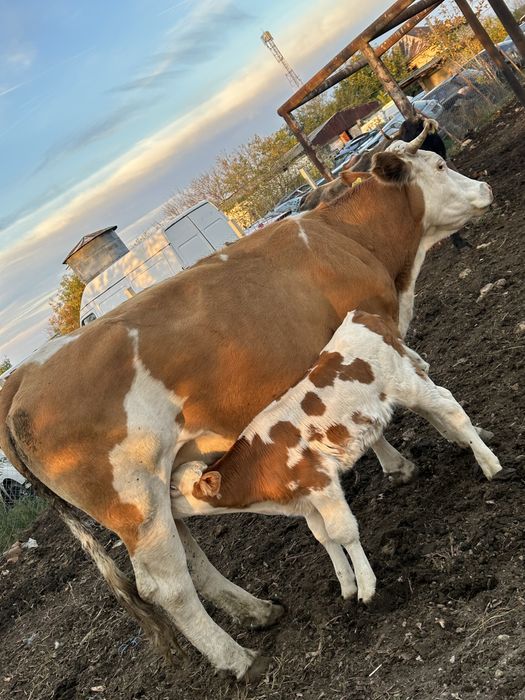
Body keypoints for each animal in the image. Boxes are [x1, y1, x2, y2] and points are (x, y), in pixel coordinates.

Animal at [171, 309, 501, 604]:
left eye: (174, 488)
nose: (161, 511)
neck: (261, 465)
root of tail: (359, 316)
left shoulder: (321, 483)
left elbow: (343, 532)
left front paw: (366, 586)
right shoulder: (304, 501)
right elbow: (323, 537)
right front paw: (347, 584)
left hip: (406, 383)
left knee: (449, 406)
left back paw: (489, 464)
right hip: (407, 382)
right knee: (434, 407)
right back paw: (466, 442)